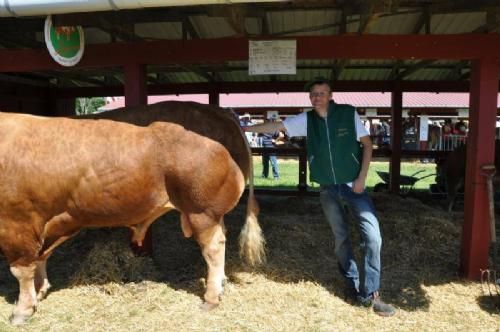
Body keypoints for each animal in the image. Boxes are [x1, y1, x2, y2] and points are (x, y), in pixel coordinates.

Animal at [0, 102, 266, 324]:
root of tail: (220, 111)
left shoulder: (16, 222)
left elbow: (21, 269)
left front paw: (22, 310)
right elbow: (40, 259)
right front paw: (40, 290)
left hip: (201, 210)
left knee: (213, 248)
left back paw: (211, 297)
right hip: (211, 213)